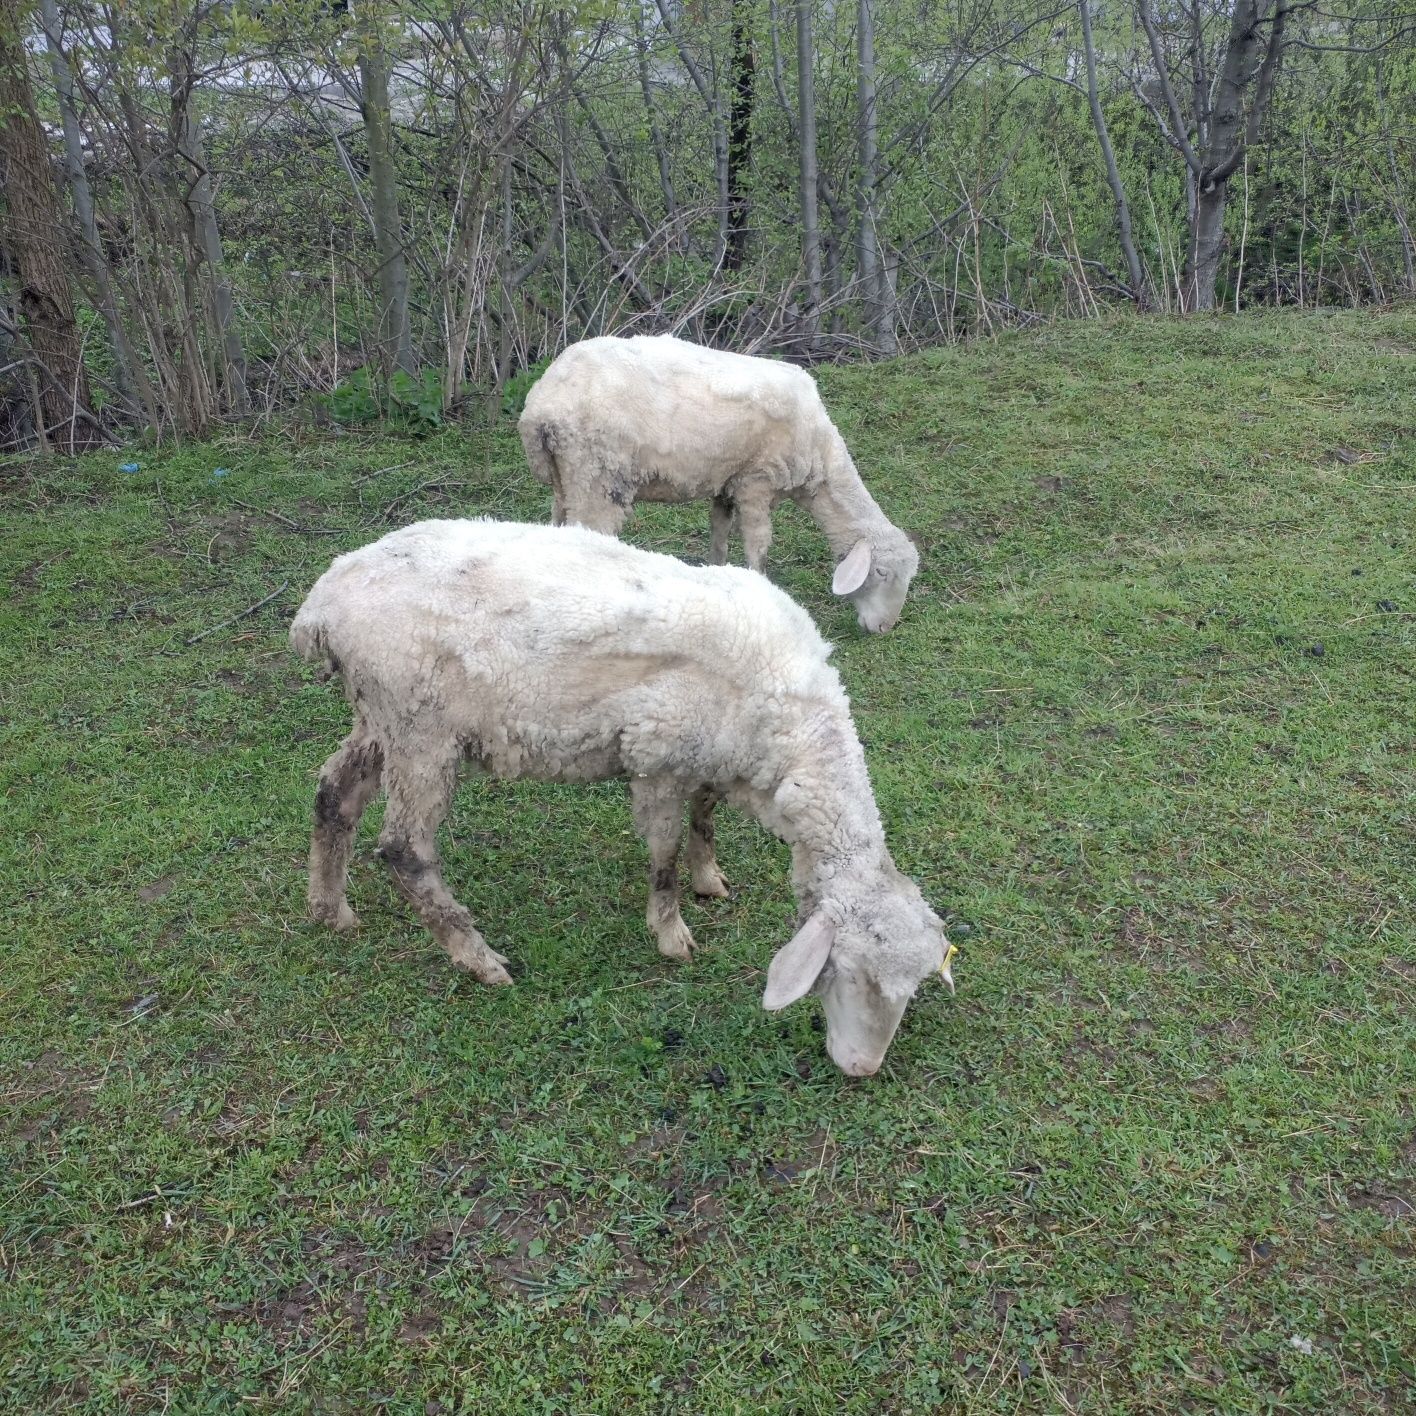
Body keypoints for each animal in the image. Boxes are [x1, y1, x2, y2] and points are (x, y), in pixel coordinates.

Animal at [286, 521, 951, 1070]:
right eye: (851, 976)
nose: (861, 1068)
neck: (794, 736)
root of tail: (320, 608)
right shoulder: (658, 755)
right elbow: (663, 852)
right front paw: (672, 934)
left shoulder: (710, 753)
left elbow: (705, 818)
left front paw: (709, 877)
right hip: (419, 727)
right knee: (404, 848)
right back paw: (479, 959)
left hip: (381, 718)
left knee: (333, 793)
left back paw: (330, 909)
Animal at [515, 334, 923, 634]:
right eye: (882, 573)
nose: (884, 628)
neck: (821, 459)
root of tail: (540, 406)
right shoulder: (757, 479)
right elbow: (758, 545)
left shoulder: (727, 482)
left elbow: (719, 533)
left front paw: (719, 577)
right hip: (597, 475)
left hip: (566, 475)